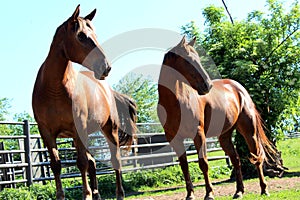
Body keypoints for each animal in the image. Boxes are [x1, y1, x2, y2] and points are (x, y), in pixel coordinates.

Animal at [31, 5, 137, 199]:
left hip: (109, 130)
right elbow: (56, 165)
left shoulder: (77, 128)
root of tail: (108, 90)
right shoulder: (46, 132)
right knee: (93, 162)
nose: (106, 67)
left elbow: (81, 163)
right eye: (81, 35)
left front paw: (85, 194)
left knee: (114, 160)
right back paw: (97, 194)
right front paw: (61, 195)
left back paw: (119, 193)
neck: (54, 89)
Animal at [157, 36, 276, 199]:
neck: (175, 102)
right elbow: (184, 166)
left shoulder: (198, 134)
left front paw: (209, 193)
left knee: (256, 157)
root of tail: (239, 88)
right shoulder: (175, 139)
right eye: (188, 60)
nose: (207, 85)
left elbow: (203, 163)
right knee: (236, 159)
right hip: (224, 136)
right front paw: (190, 194)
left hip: (249, 132)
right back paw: (239, 191)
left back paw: (264, 189)